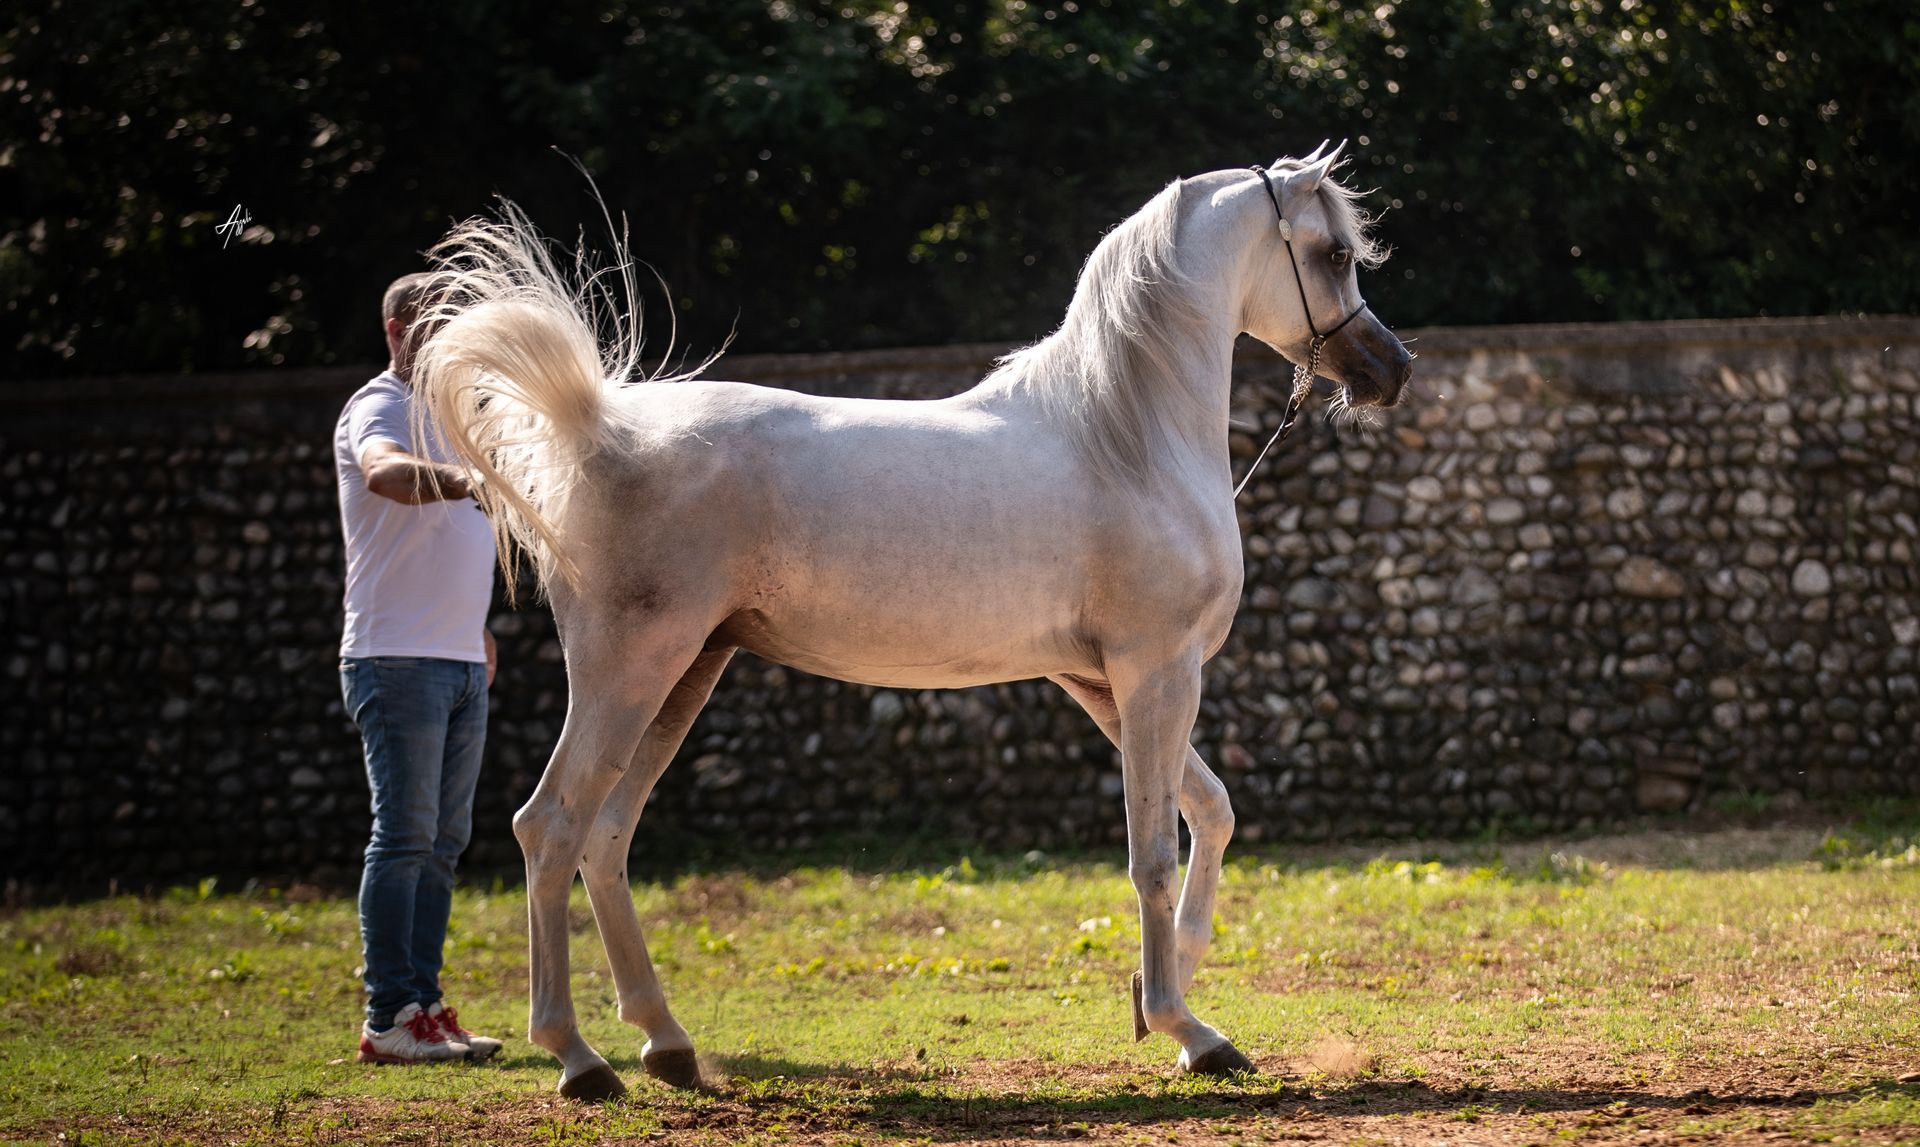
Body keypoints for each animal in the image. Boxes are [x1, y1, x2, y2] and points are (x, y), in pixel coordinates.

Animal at [412, 141, 1412, 1100]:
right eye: (1331, 254)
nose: (1392, 369)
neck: (1125, 437)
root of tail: (593, 429)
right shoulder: (1155, 671)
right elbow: (1153, 855)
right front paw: (1190, 1033)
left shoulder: (1100, 682)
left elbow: (1210, 811)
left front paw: (1162, 995)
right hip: (629, 670)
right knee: (551, 826)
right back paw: (579, 1058)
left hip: (687, 671)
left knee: (607, 835)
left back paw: (668, 1043)